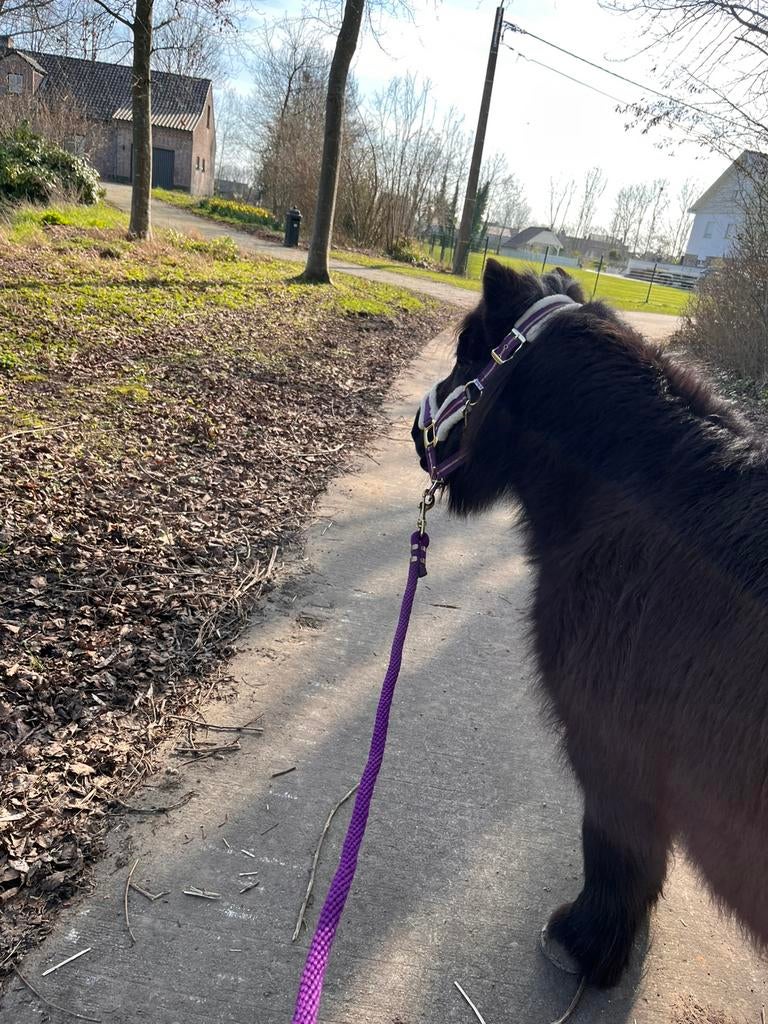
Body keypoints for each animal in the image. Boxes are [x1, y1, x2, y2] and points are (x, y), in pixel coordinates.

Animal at [412, 258, 768, 987]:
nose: (414, 433)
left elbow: (615, 847)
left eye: (467, 354)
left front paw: (589, 942)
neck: (645, 494)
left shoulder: (613, 748)